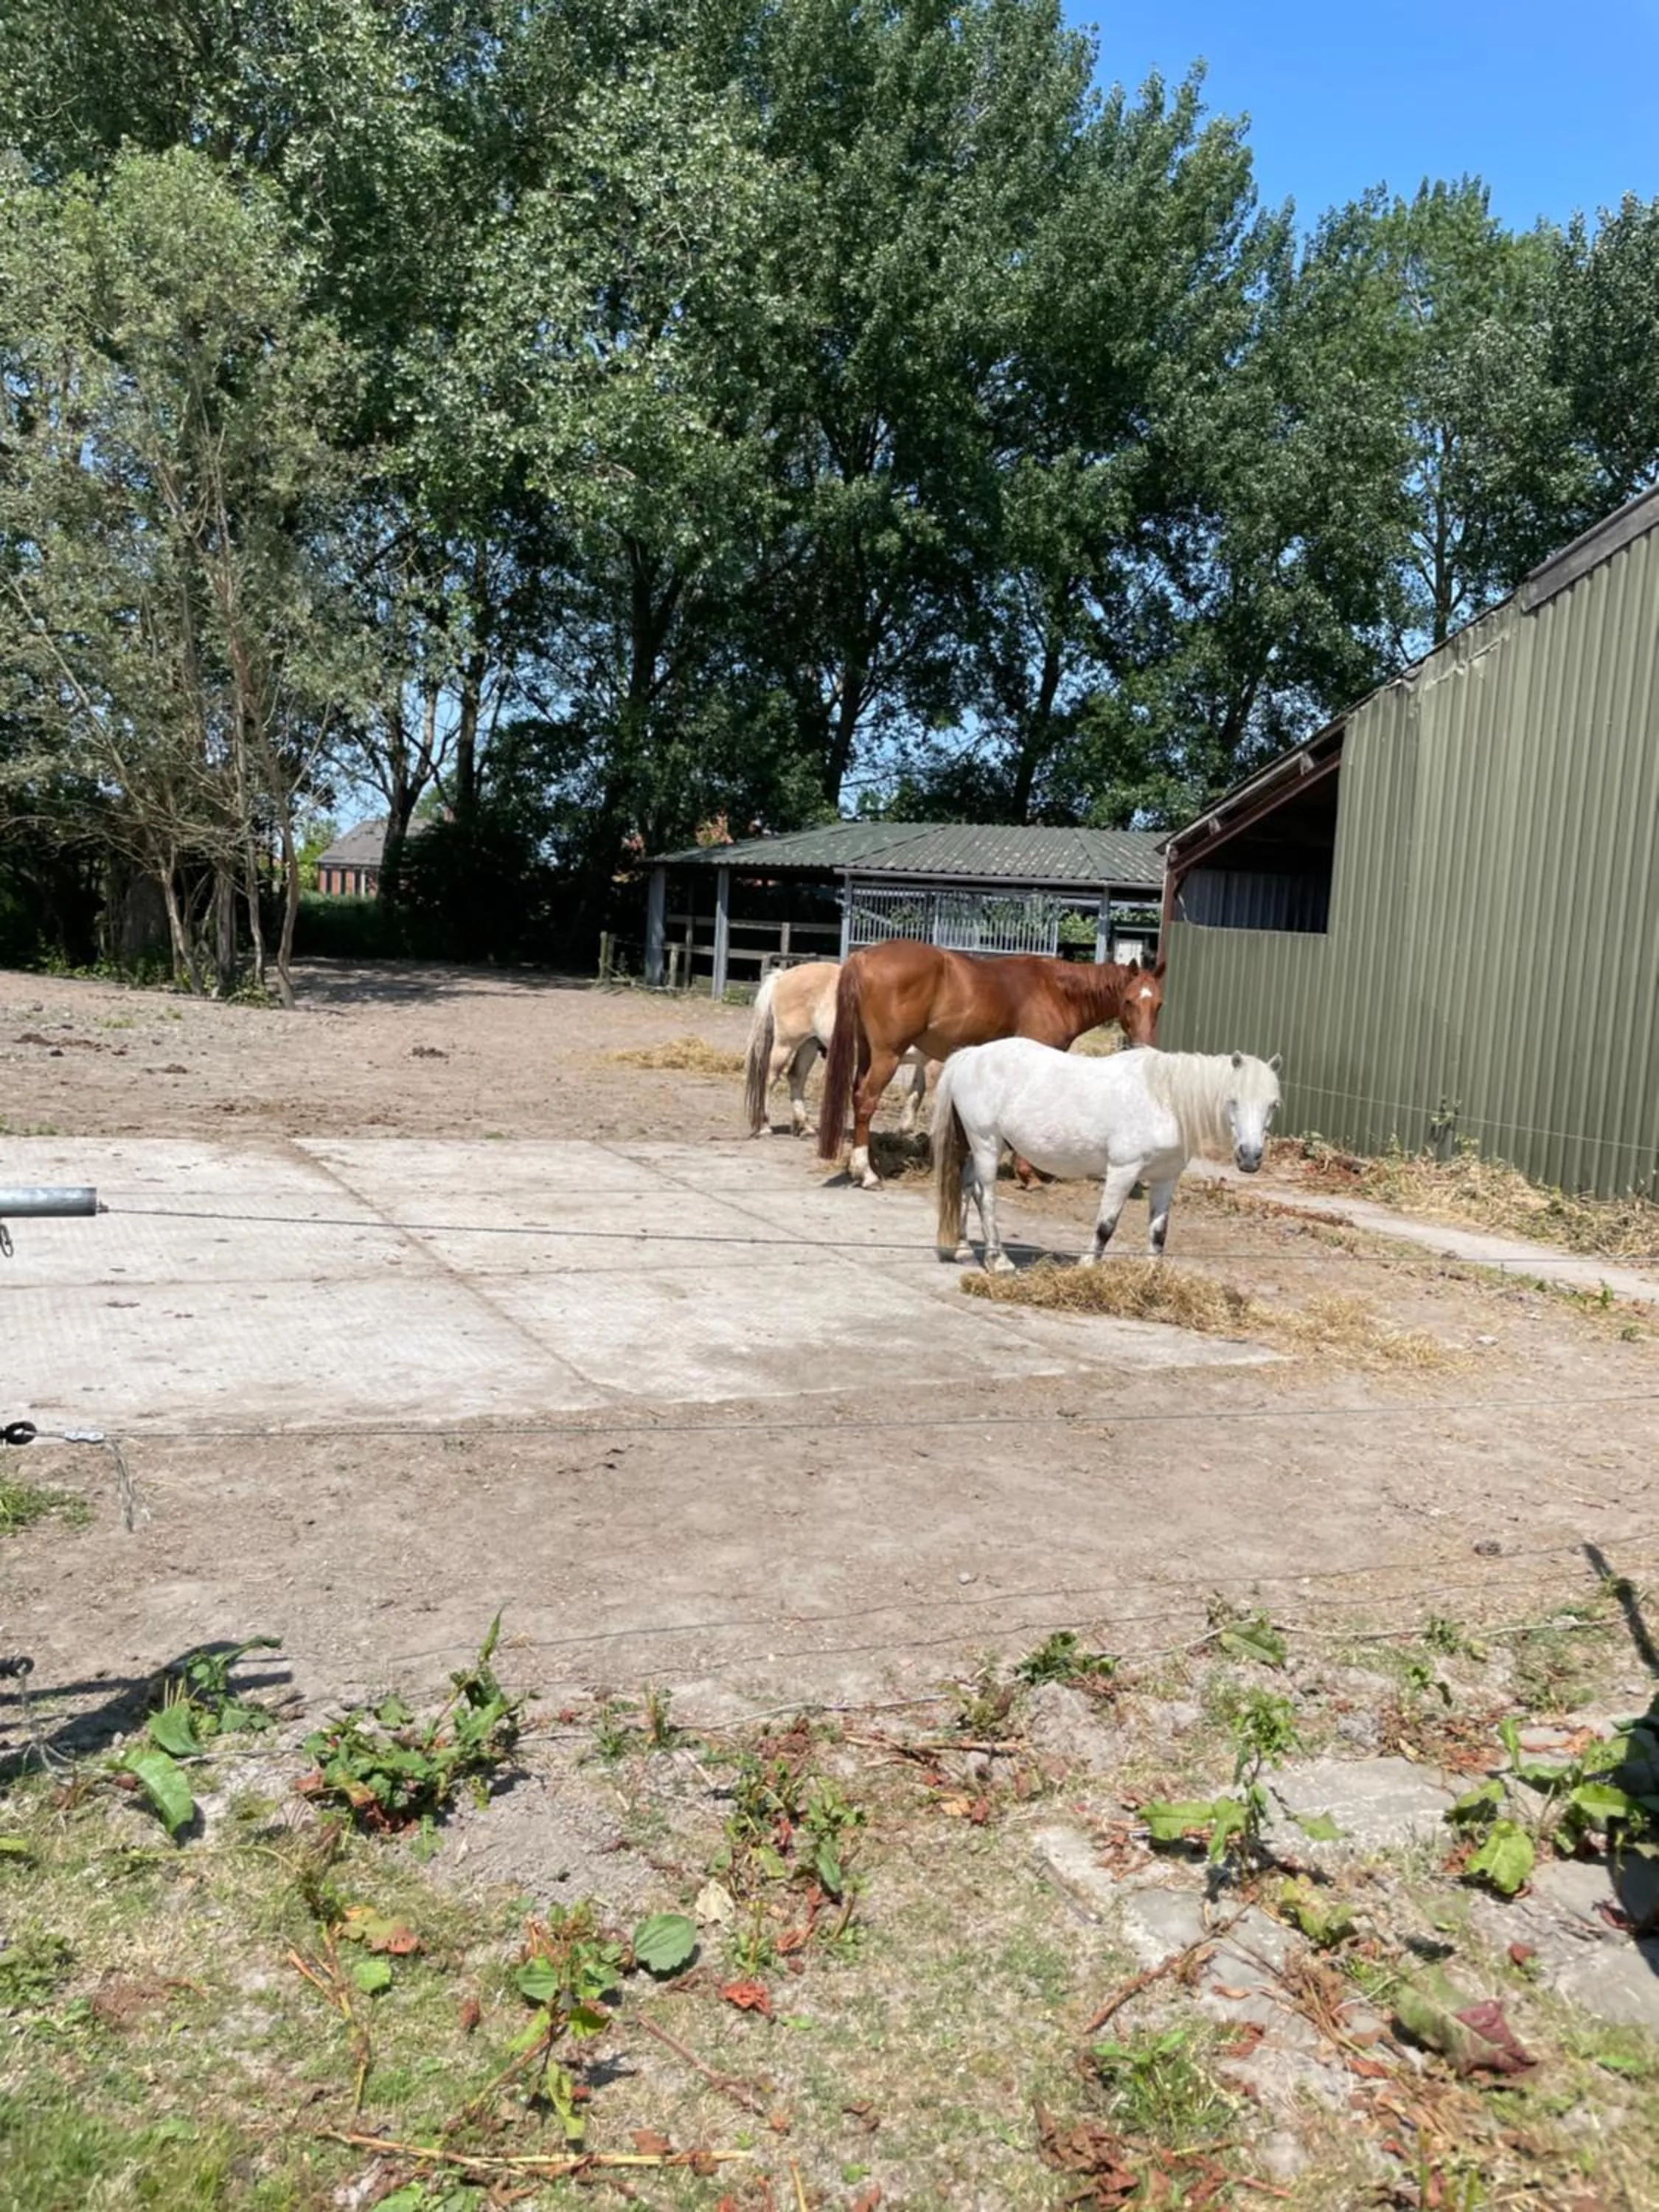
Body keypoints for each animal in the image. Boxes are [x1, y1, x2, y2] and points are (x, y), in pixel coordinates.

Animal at [742, 961, 931, 1138]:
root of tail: (782, 976)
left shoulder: (924, 1062)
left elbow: (917, 1093)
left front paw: (905, 1129)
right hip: (786, 1044)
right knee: (770, 1079)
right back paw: (765, 1126)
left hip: (809, 1045)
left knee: (796, 1077)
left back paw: (806, 1127)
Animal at [816, 939, 1164, 1188]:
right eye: (1129, 1001)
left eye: (1159, 1004)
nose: (1144, 1047)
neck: (1057, 991)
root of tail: (864, 957)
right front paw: (1028, 1175)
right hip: (888, 1055)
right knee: (866, 1101)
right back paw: (867, 1174)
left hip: (867, 1052)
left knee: (857, 1095)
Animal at [933, 1040, 1281, 1272]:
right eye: (1233, 1101)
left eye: (1273, 1104)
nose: (1250, 1158)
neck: (1165, 1101)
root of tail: (970, 1055)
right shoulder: (1123, 1171)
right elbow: (1106, 1225)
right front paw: (1088, 1267)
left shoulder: (1165, 1178)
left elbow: (1158, 1233)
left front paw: (1152, 1279)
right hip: (986, 1143)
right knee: (986, 1196)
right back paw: (999, 1261)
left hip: (986, 1145)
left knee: (966, 1185)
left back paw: (963, 1250)